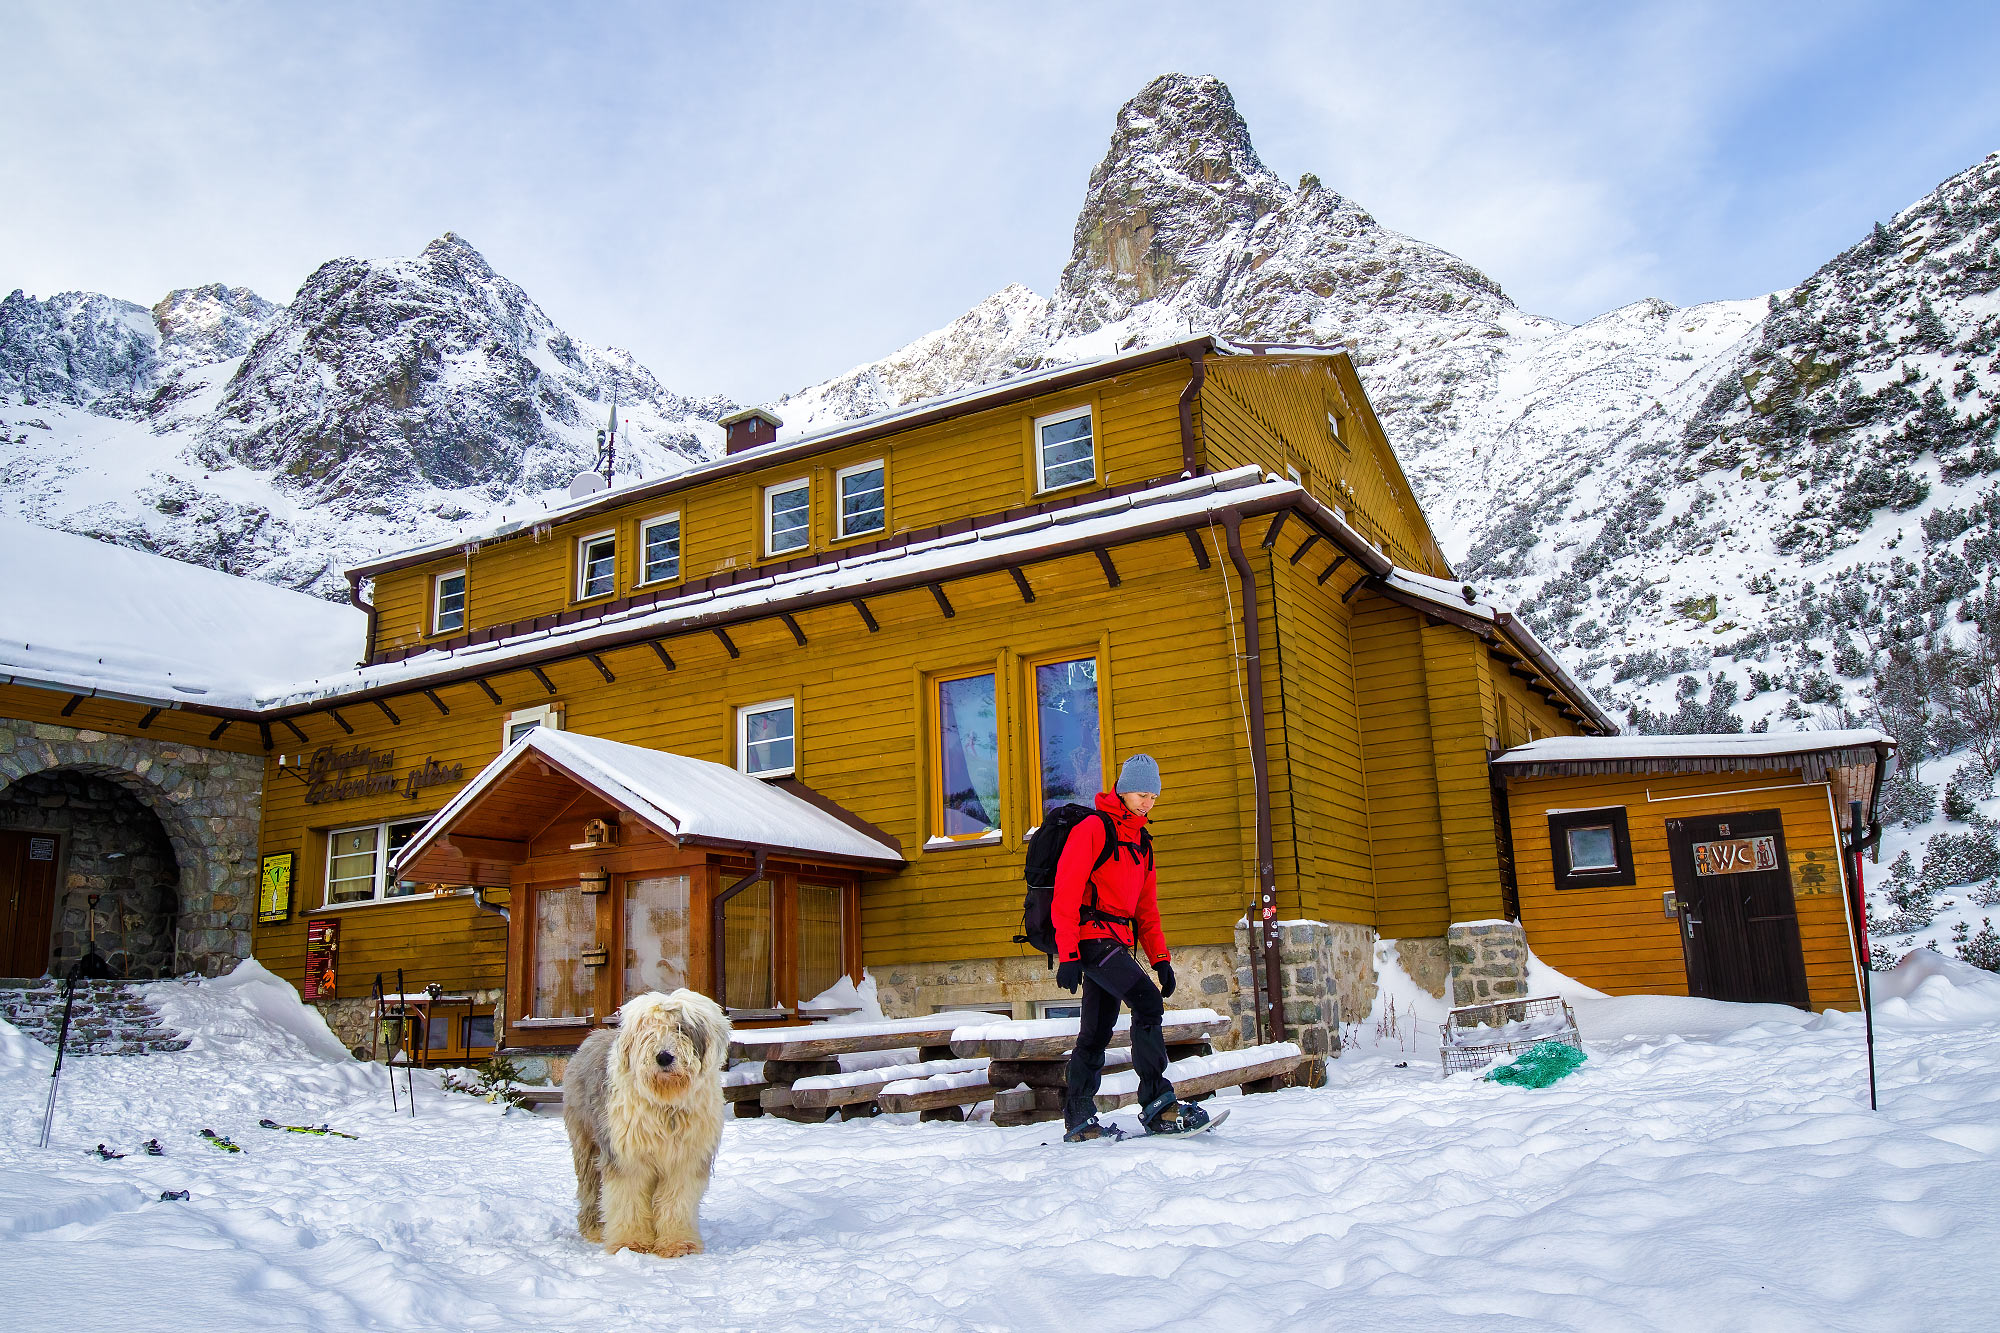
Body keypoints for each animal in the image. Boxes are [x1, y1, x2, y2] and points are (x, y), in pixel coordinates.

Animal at [560, 984, 732, 1256]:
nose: (664, 1057)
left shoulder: (685, 1161)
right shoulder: (628, 1158)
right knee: (591, 1187)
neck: (666, 1104)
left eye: (681, 1028)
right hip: (587, 1142)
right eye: (650, 1030)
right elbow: (628, 1199)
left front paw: (677, 1244)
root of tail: (592, 1036)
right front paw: (630, 1243)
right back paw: (595, 1229)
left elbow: (676, 1202)